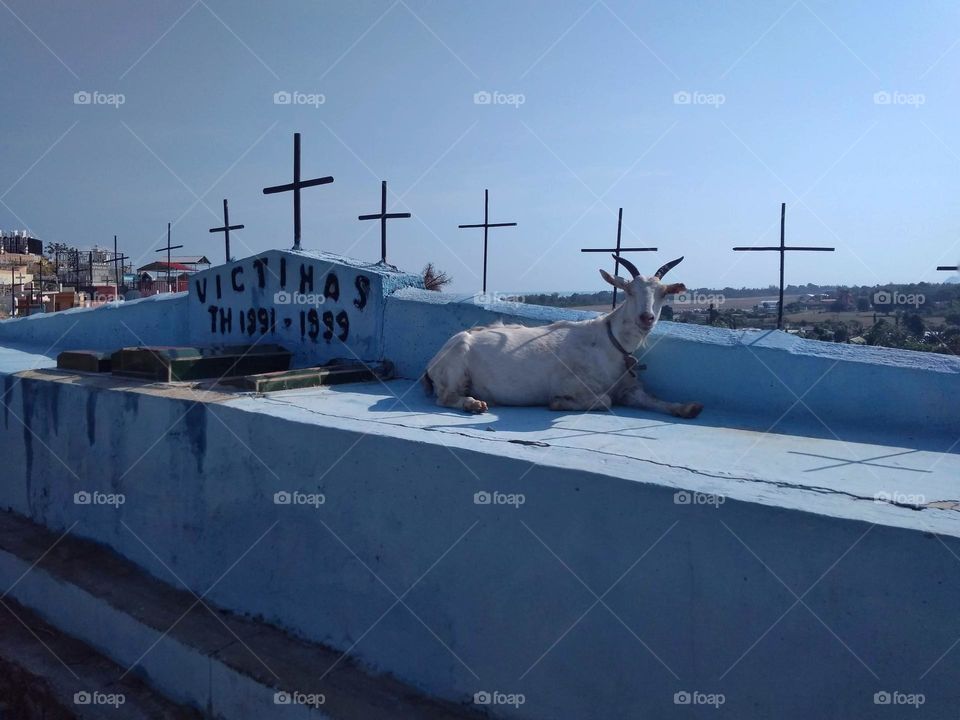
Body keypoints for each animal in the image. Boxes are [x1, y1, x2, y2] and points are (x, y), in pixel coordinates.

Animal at [424, 256, 700, 420]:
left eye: (663, 293)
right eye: (629, 291)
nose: (646, 318)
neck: (610, 344)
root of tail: (433, 362)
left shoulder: (629, 389)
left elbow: (651, 399)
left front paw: (687, 407)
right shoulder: (572, 385)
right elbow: (605, 399)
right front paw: (557, 403)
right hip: (456, 364)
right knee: (445, 397)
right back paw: (473, 404)